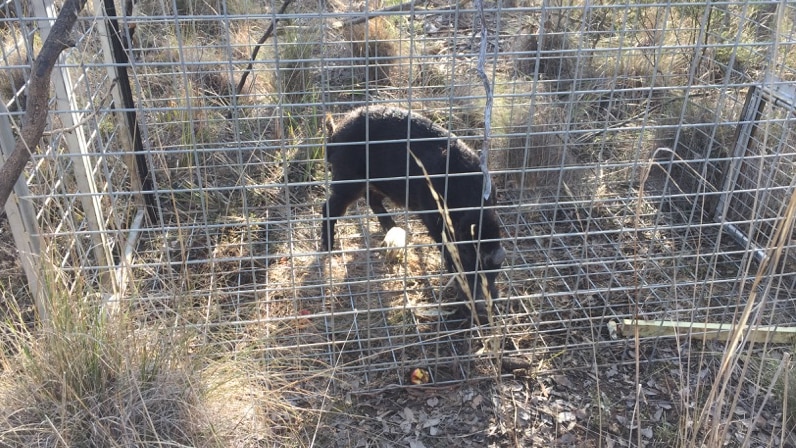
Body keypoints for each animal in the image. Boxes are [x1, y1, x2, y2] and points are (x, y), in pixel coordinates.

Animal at [318, 106, 504, 316]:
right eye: (465, 253)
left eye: (497, 264)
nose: (484, 306)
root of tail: (335, 133)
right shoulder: (433, 216)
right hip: (347, 177)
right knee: (329, 207)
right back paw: (328, 247)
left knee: (372, 199)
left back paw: (394, 228)